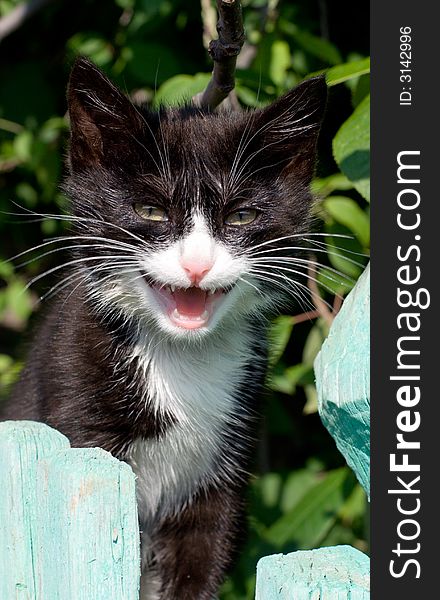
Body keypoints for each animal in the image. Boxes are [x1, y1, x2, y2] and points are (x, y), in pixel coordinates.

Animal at [2, 59, 326, 600]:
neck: (182, 355)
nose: (196, 265)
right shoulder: (73, 409)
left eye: (242, 215)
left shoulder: (222, 469)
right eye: (151, 210)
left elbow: (201, 557)